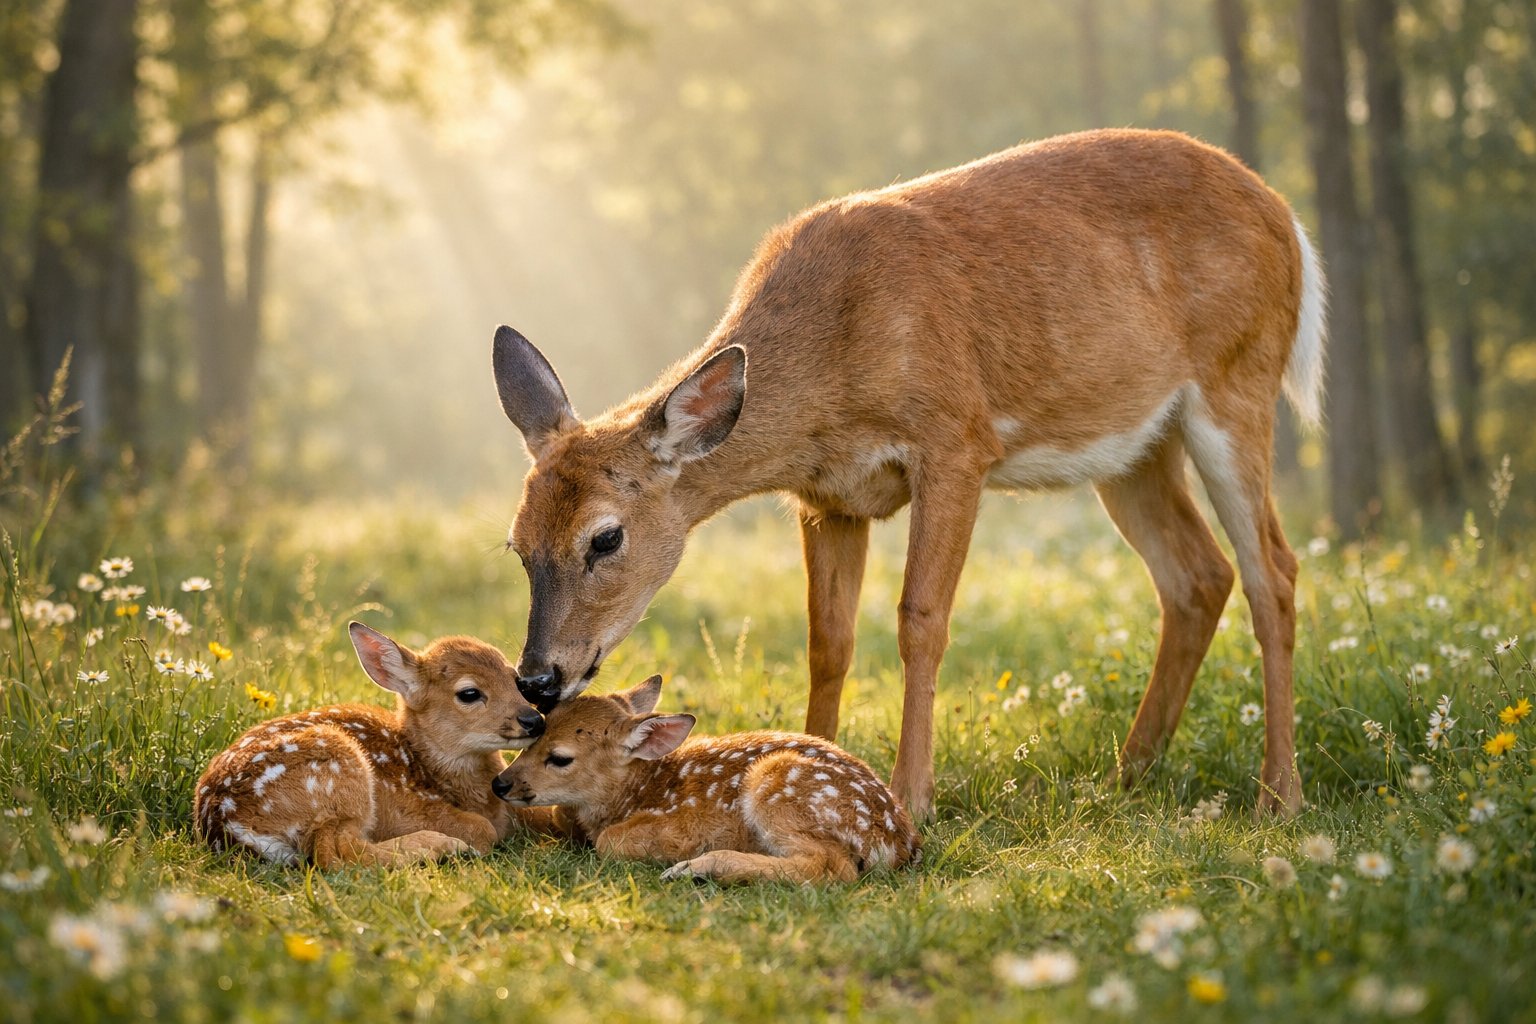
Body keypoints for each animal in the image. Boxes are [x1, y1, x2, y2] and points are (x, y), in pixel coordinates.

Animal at [195, 622, 572, 866]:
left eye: (516, 680)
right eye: (469, 693)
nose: (534, 720)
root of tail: (227, 822)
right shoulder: (407, 808)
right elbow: (483, 828)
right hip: (338, 773)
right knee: (337, 855)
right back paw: (442, 847)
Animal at [490, 128, 1326, 821]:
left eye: (605, 538)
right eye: (517, 543)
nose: (538, 679)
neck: (833, 362)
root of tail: (1288, 218)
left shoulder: (956, 439)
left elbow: (921, 618)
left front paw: (911, 796)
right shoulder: (827, 498)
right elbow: (828, 640)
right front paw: (812, 754)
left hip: (1238, 381)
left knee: (1273, 570)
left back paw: (1278, 796)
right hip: (1133, 448)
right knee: (1198, 575)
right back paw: (1127, 774)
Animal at [492, 675, 920, 883]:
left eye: (560, 758)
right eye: (534, 734)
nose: (501, 784)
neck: (636, 792)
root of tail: (896, 842)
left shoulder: (687, 825)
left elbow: (611, 841)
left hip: (778, 787)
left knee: (832, 868)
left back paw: (699, 869)